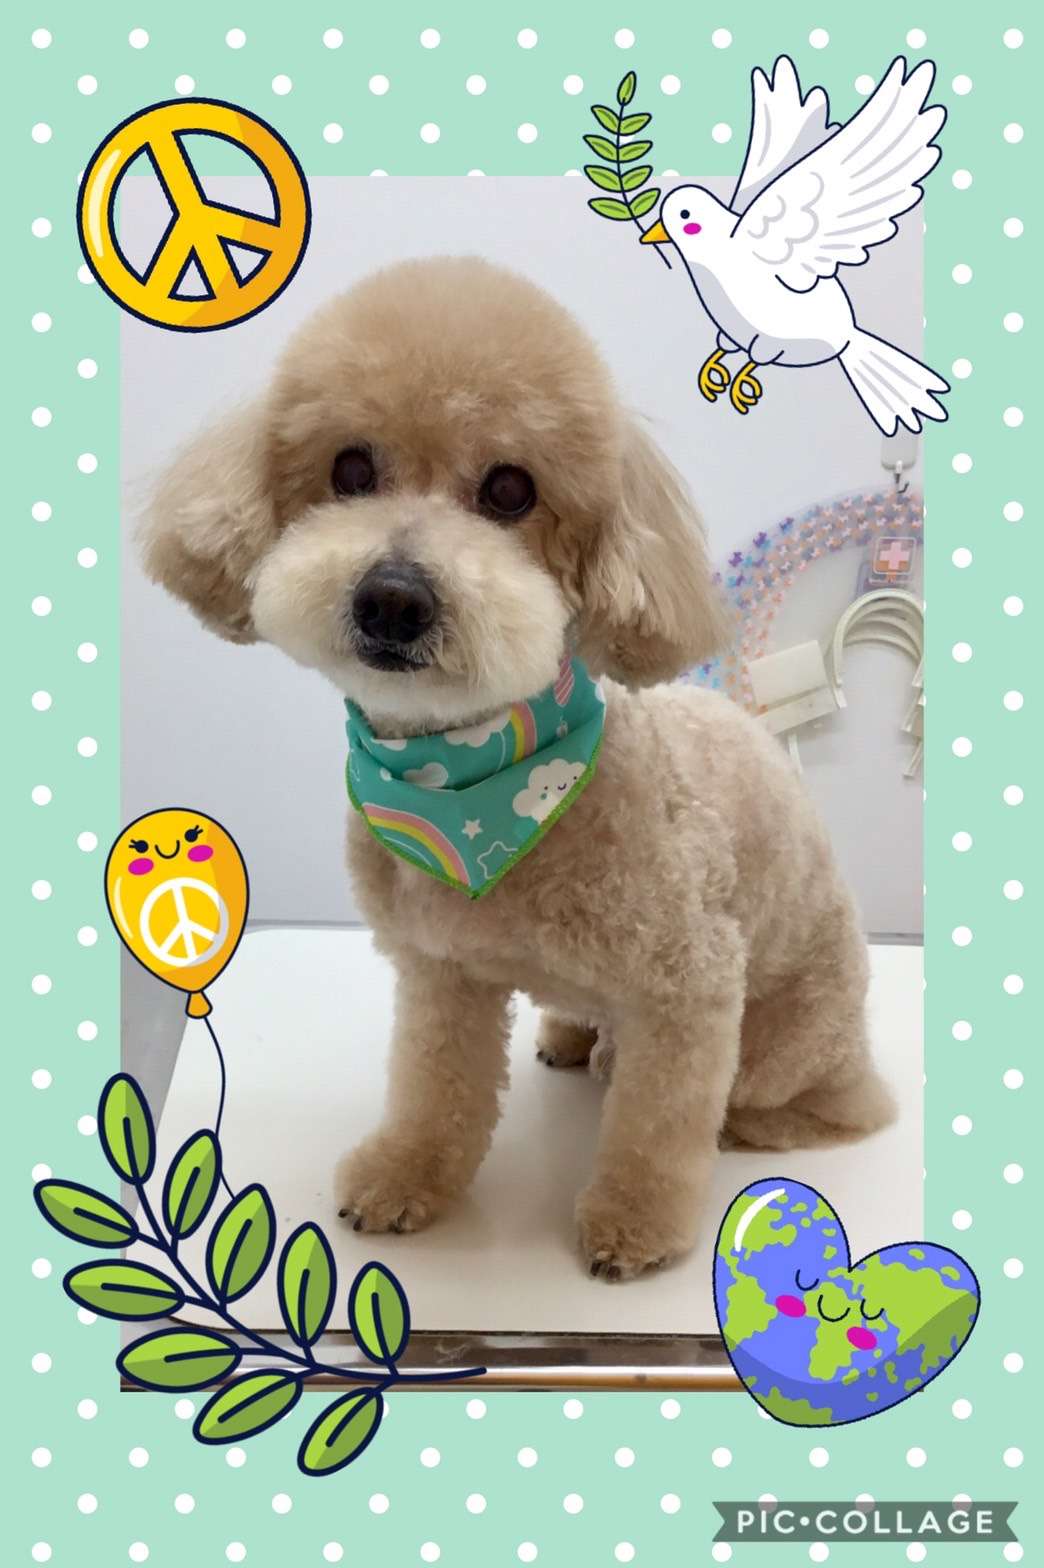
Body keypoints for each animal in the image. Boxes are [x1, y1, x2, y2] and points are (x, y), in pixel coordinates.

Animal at [143, 255, 895, 1280]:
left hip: (793, 1039)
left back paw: (754, 1123)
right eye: (350, 469)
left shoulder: (691, 990)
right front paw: (406, 1176)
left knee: (822, 1105)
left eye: (510, 489)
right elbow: (436, 1085)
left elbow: (659, 1130)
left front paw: (636, 1226)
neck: (472, 783)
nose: (392, 598)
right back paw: (574, 1037)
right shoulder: (440, 970)